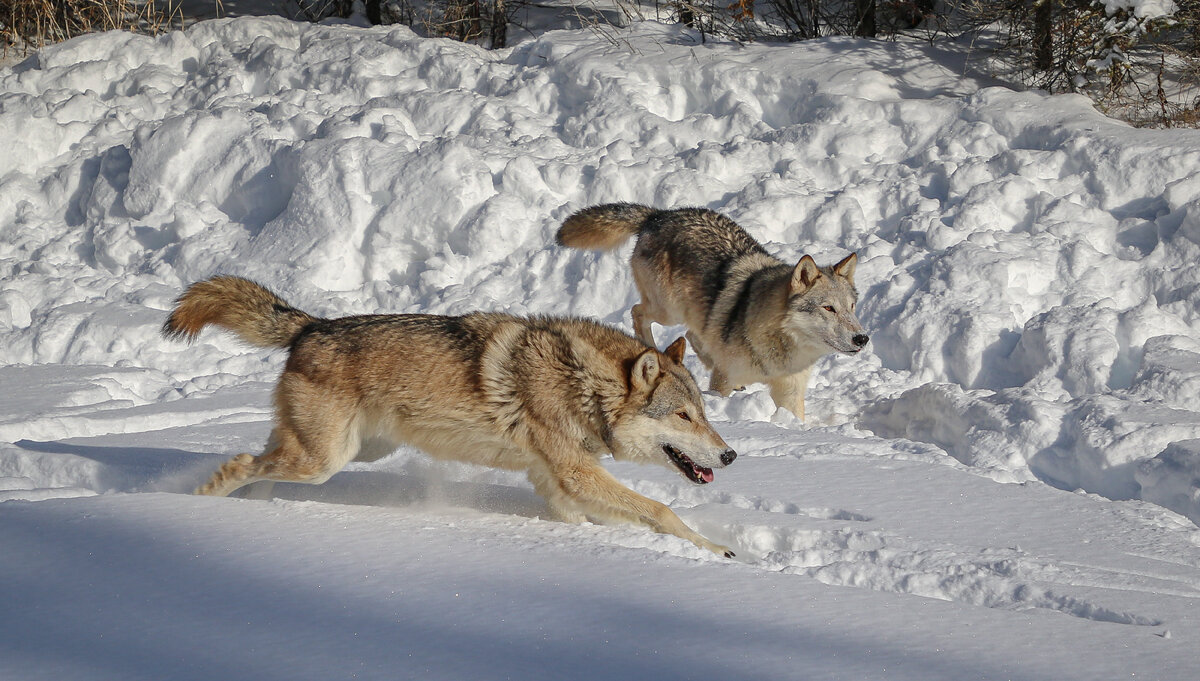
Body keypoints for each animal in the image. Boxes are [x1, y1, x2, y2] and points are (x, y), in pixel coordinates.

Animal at [159, 276, 739, 558]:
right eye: (684, 416)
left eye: (704, 413)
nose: (731, 454)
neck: (582, 382)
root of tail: (311, 326)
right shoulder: (576, 473)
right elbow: (663, 510)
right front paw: (721, 551)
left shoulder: (556, 482)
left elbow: (605, 517)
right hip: (325, 460)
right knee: (238, 462)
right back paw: (193, 506)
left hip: (348, 452)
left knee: (258, 462)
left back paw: (255, 510)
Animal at [556, 205, 868, 419]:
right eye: (829, 308)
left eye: (851, 307)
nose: (862, 338)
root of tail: (659, 215)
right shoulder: (723, 381)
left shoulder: (789, 391)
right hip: (669, 310)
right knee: (638, 313)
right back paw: (653, 351)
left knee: (693, 334)